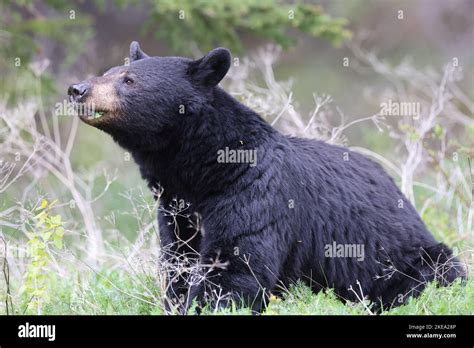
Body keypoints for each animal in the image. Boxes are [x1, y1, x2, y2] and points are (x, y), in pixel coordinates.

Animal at [68, 42, 464, 314]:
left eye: (129, 80)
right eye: (109, 70)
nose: (77, 89)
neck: (202, 169)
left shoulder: (253, 192)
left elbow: (236, 265)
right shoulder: (177, 209)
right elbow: (178, 262)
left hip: (410, 259)